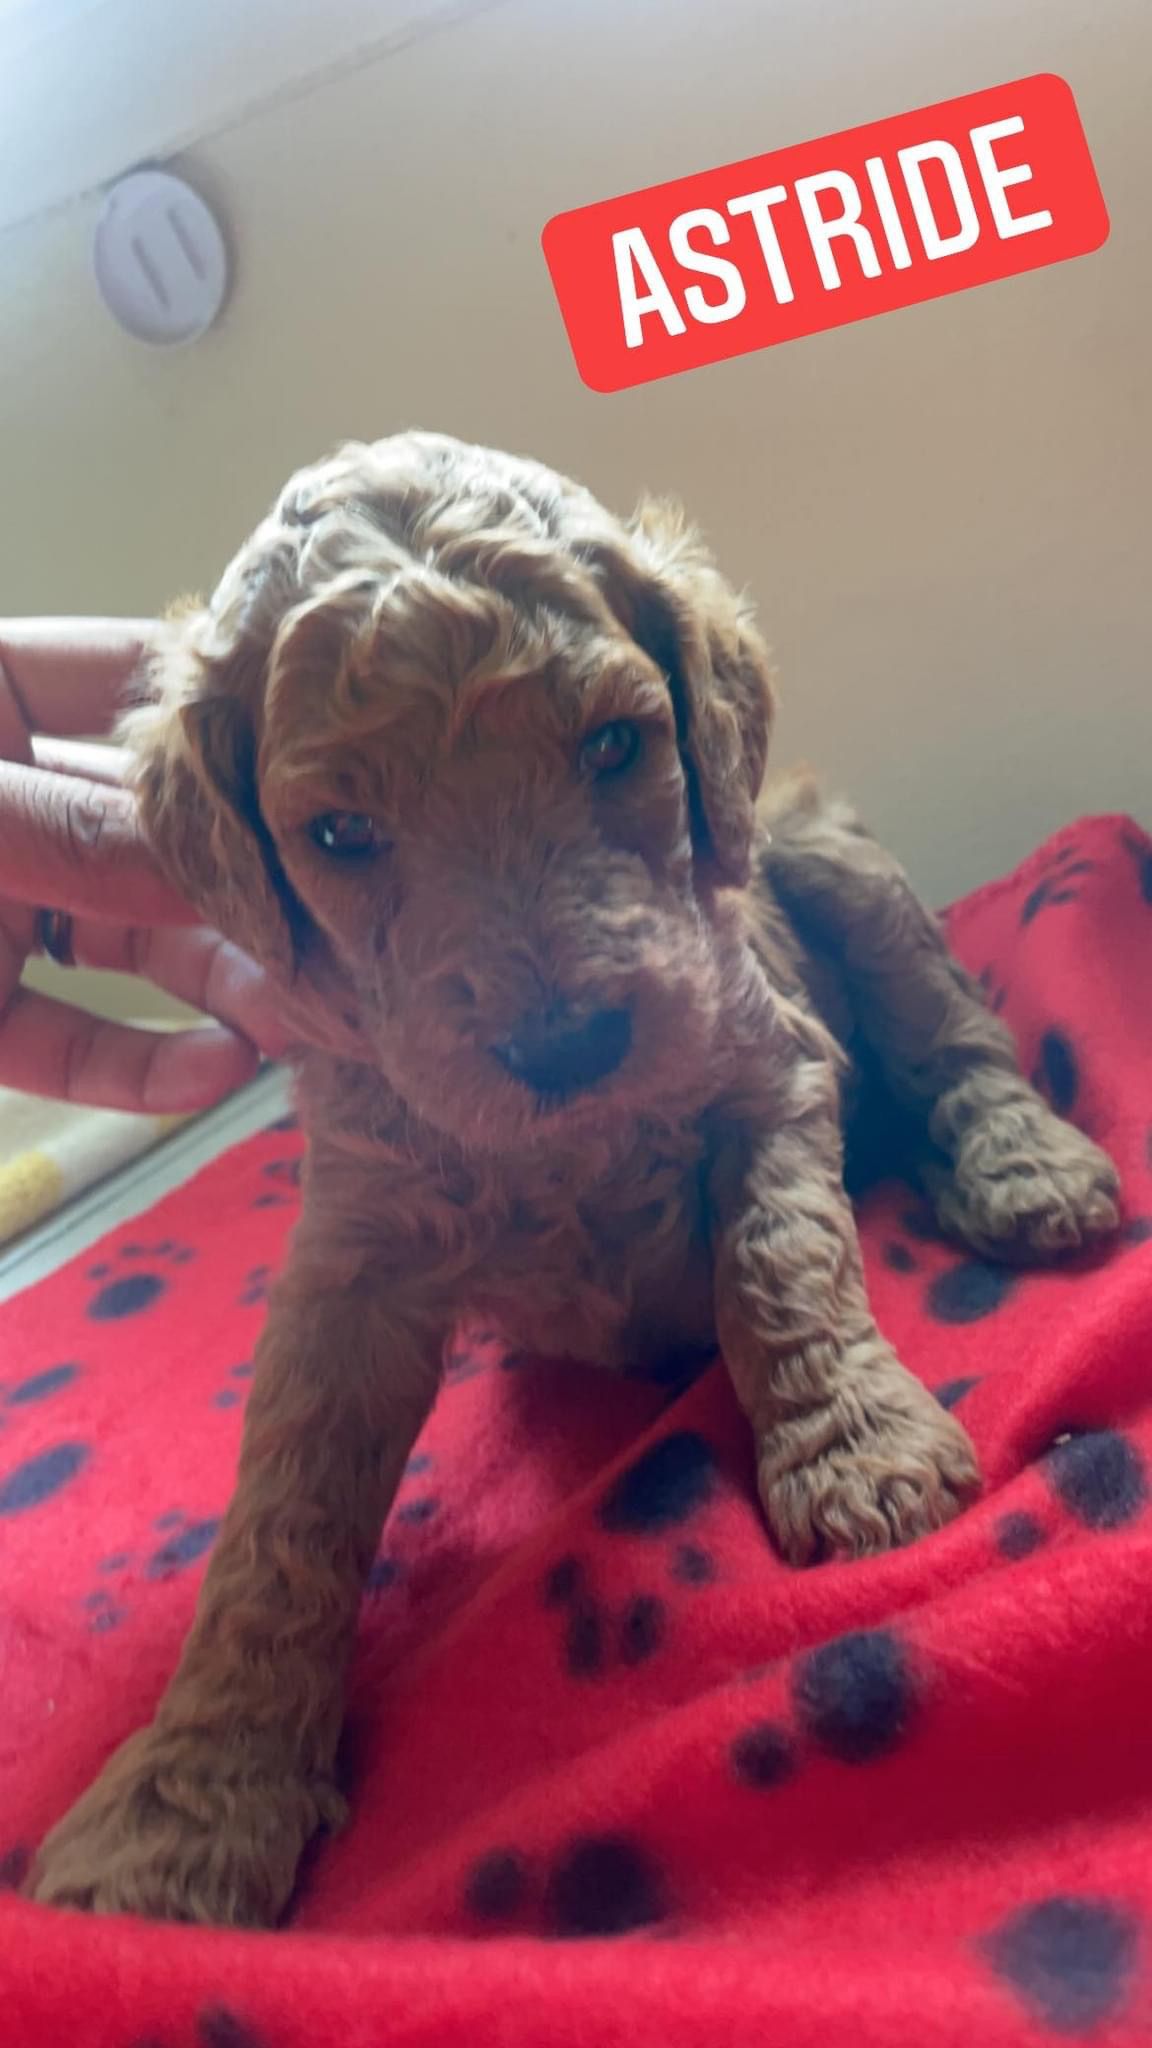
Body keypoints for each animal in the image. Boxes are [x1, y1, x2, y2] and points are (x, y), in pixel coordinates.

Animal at [30, 431, 1121, 1927]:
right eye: (341, 833)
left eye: (615, 744)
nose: (567, 1041)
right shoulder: (354, 1245)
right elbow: (282, 1513)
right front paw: (185, 1807)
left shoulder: (768, 1056)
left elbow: (779, 1256)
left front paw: (858, 1456)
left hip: (827, 855)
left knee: (959, 1037)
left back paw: (1030, 1168)